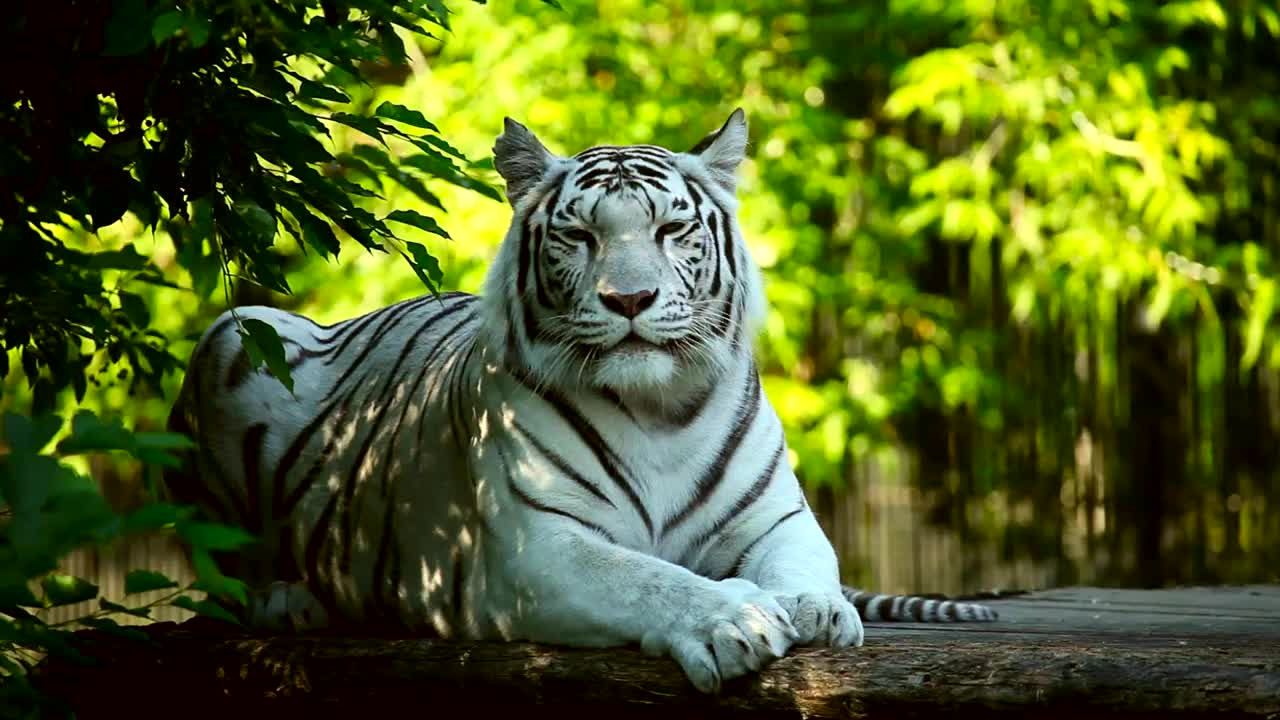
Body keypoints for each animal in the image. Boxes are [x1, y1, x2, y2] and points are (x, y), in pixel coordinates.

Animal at [164, 109, 997, 694]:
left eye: (671, 229)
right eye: (579, 236)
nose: (629, 298)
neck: (664, 410)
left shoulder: (776, 519)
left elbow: (803, 562)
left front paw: (815, 608)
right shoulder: (535, 548)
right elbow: (647, 579)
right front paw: (732, 616)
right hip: (238, 335)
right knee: (218, 569)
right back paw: (286, 601)